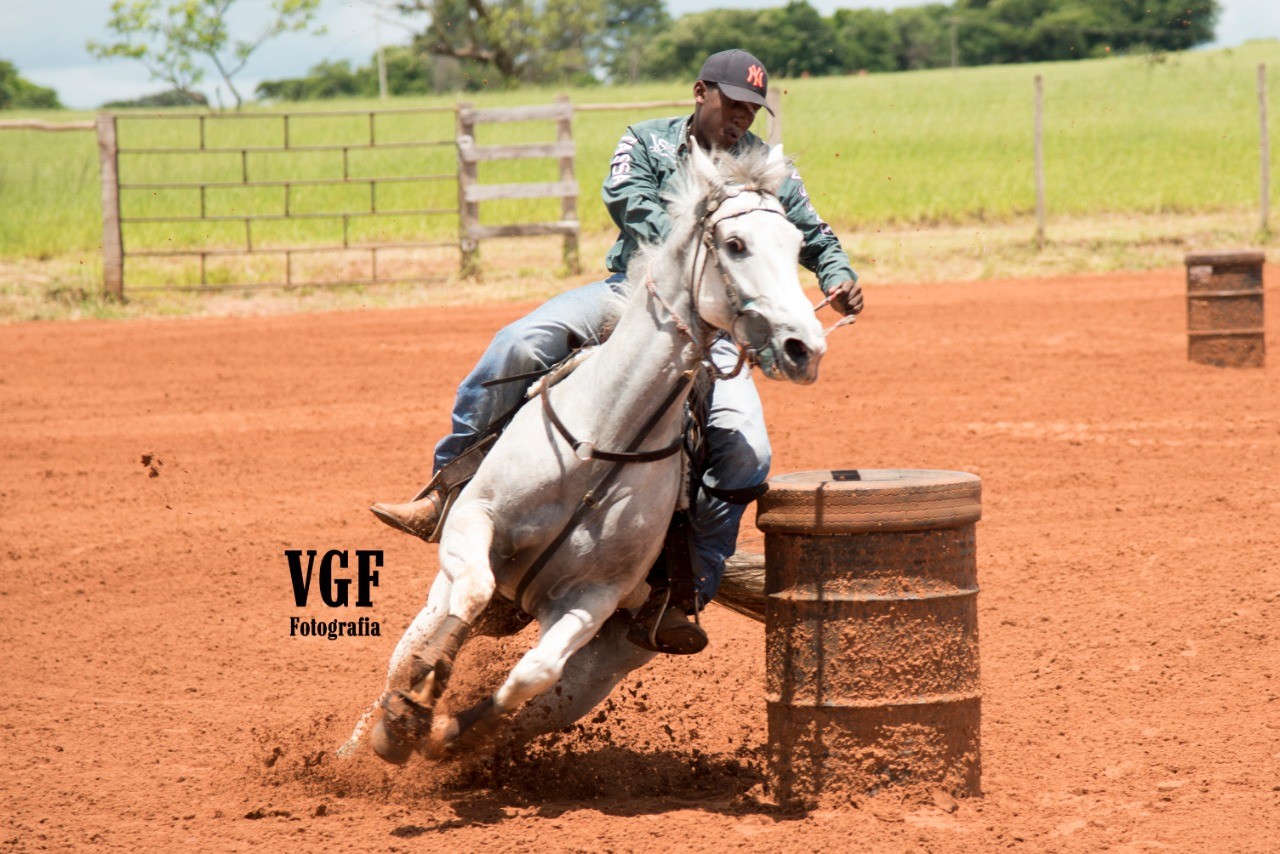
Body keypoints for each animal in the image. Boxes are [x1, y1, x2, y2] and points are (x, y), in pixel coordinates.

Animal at [340, 142, 824, 768]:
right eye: (736, 244)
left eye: (795, 244)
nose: (803, 347)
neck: (604, 442)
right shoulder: (474, 521)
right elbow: (472, 590)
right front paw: (410, 713)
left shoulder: (593, 600)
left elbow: (533, 672)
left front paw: (447, 730)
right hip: (442, 595)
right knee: (410, 654)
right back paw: (365, 745)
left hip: (606, 661)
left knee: (537, 702)